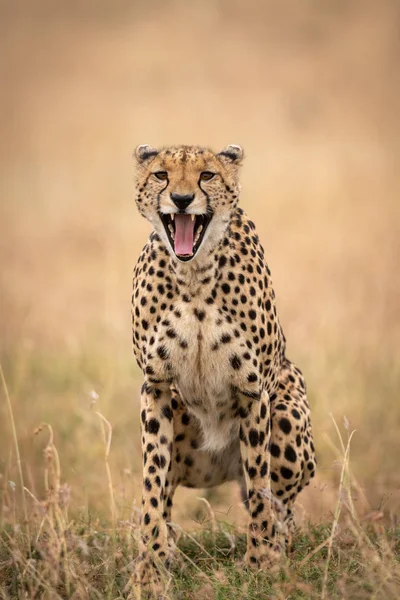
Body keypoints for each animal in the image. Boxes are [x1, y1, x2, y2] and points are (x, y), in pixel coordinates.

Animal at [131, 144, 316, 596]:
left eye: (207, 175)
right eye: (161, 175)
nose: (181, 200)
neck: (193, 273)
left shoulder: (254, 392)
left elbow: (262, 491)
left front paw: (261, 564)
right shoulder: (156, 386)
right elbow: (151, 486)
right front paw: (150, 569)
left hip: (288, 414)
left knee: (282, 507)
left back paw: (278, 546)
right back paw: (170, 546)